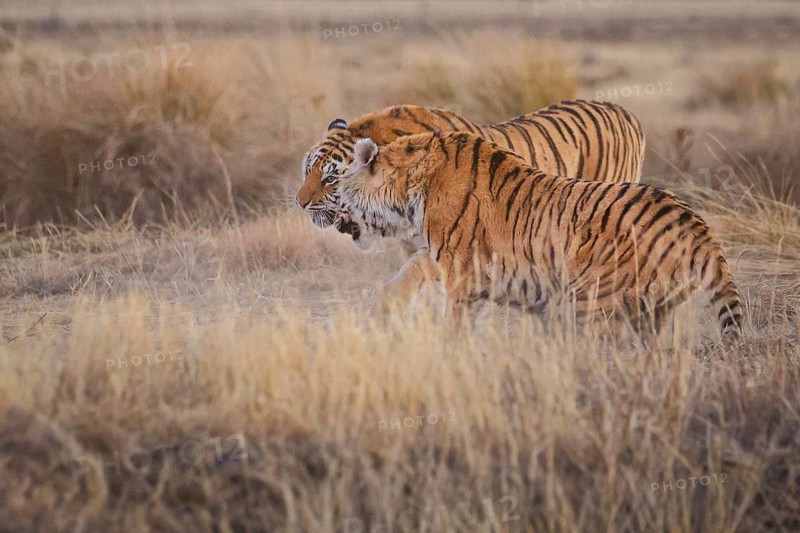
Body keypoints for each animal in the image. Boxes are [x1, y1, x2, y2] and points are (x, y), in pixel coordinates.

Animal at [338, 132, 744, 339]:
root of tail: (696, 224)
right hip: (649, 311)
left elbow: (454, 323)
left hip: (594, 303)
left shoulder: (462, 276)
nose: (339, 223)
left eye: (338, 184)